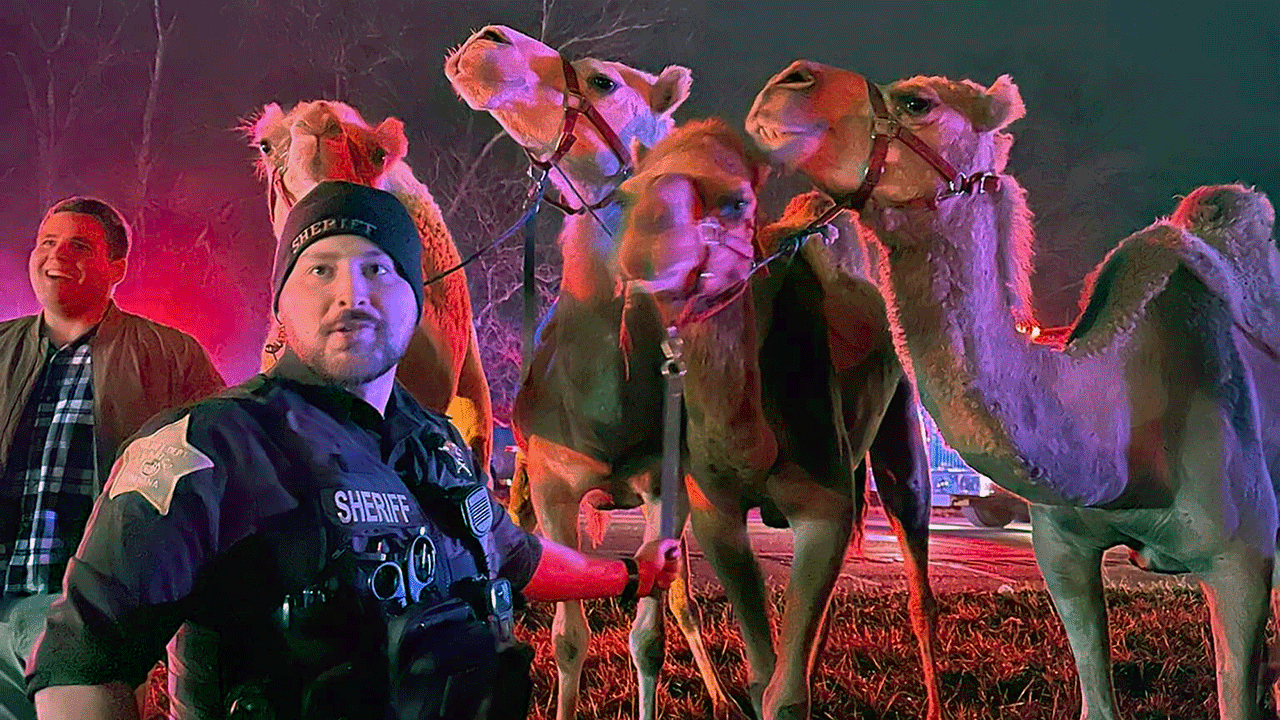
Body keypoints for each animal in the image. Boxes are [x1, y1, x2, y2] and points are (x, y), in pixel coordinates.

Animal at [445, 23, 742, 717]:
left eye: (604, 81)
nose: (485, 41)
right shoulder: (553, 487)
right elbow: (569, 636)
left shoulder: (665, 488)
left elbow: (651, 635)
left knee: (685, 600)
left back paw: (721, 694)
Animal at [614, 117, 947, 717]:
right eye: (628, 194)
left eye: (736, 201)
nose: (647, 252)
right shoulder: (716, 514)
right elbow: (763, 678)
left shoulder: (824, 508)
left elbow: (785, 697)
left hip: (902, 424)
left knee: (917, 572)